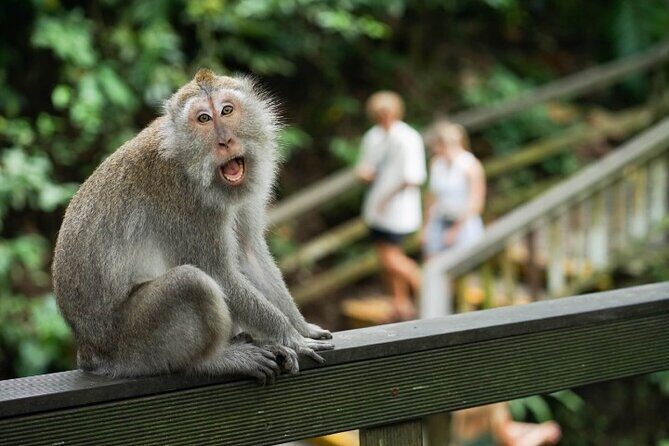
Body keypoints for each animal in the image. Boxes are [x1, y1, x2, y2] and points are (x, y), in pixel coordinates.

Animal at [52, 69, 333, 383]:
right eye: (203, 119)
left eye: (227, 110)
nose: (225, 141)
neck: (190, 163)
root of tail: (88, 351)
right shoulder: (187, 205)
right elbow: (219, 275)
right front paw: (289, 335)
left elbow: (249, 253)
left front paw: (302, 326)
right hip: (132, 344)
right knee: (191, 283)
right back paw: (215, 360)